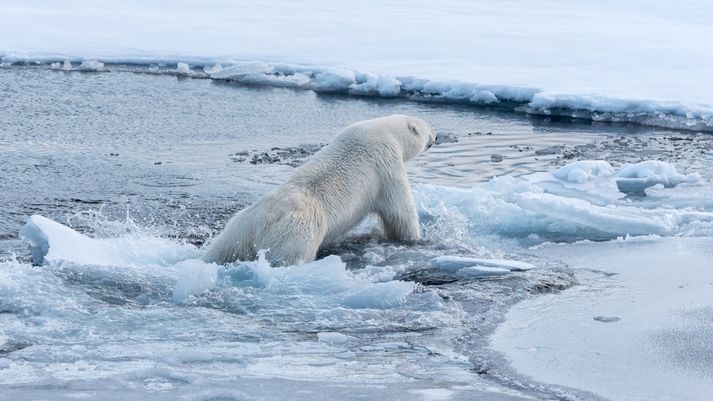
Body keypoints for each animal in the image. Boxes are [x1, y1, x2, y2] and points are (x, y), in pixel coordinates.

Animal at [200, 114, 434, 266]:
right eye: (426, 128)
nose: (436, 135)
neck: (385, 130)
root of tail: (260, 225)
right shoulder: (385, 163)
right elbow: (399, 210)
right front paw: (414, 239)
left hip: (236, 232)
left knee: (222, 250)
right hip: (297, 234)